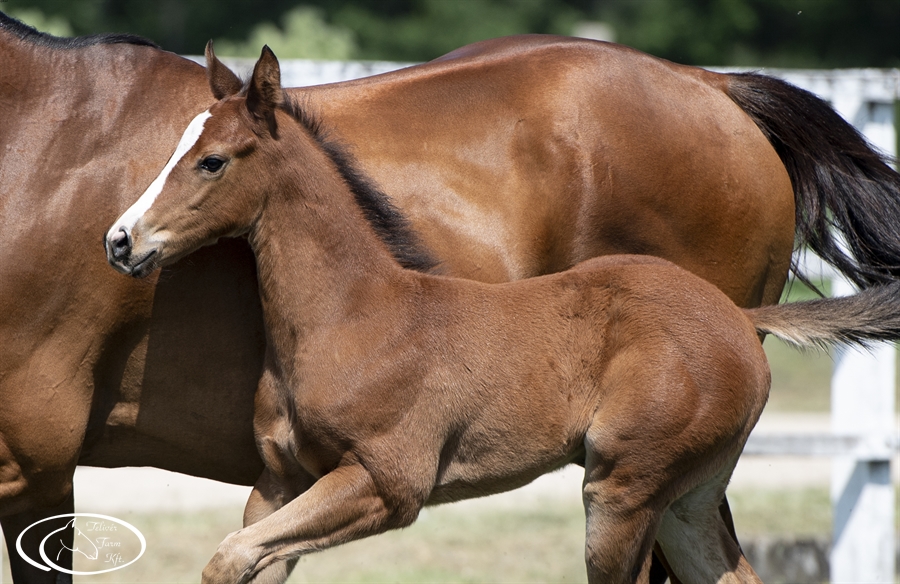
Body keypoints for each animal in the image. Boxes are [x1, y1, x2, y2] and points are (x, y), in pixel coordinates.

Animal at [5, 10, 900, 584]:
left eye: (212, 160)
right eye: (174, 147)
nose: (122, 241)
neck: (356, 308)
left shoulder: (385, 485)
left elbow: (232, 554)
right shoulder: (280, 480)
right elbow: (237, 559)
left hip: (620, 495)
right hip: (682, 498)